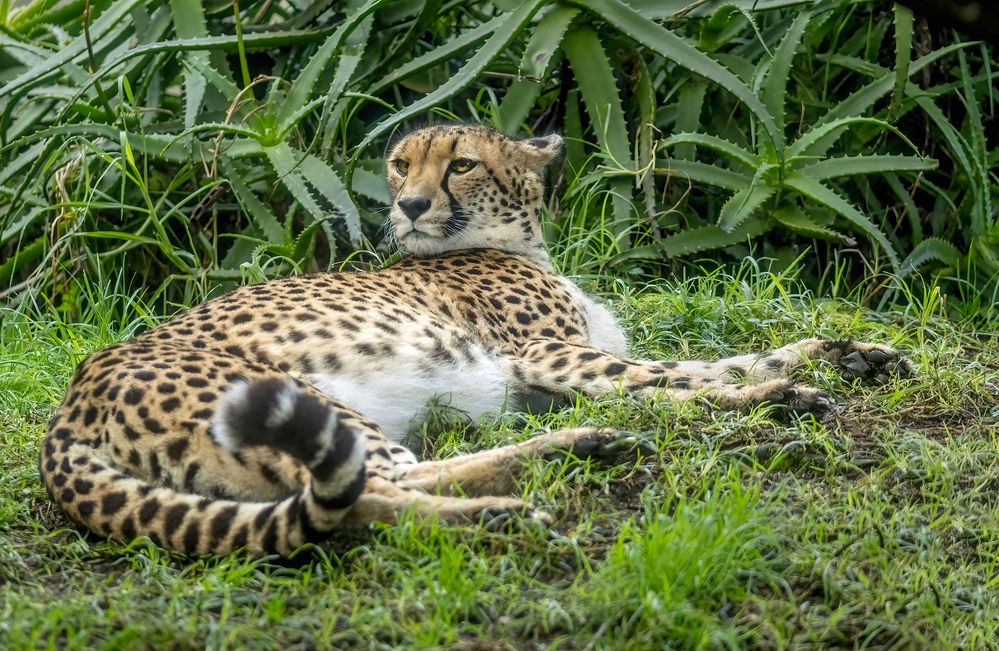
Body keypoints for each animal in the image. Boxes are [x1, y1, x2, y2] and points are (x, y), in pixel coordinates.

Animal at [39, 126, 916, 556]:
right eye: (400, 164)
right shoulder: (546, 356)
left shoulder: (544, 371)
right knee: (369, 487)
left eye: (459, 164)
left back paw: (571, 450)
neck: (514, 241)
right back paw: (515, 498)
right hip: (297, 399)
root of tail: (68, 407)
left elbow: (705, 362)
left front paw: (842, 352)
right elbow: (678, 381)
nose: (409, 205)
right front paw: (777, 396)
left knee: (370, 489)